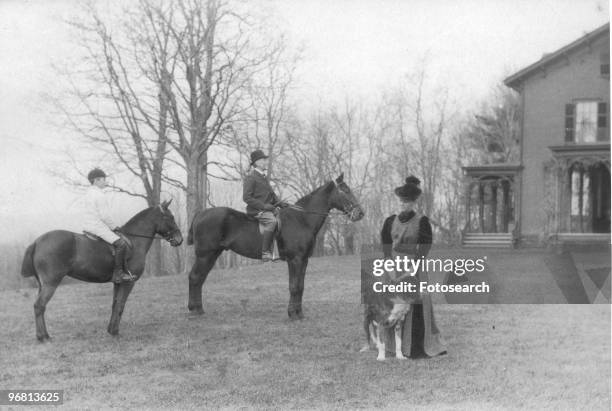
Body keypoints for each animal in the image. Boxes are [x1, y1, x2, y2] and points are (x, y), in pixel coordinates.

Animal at [22, 200, 184, 342]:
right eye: (170, 217)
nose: (179, 239)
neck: (134, 241)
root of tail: (36, 242)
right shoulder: (129, 282)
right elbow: (121, 305)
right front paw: (115, 332)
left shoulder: (118, 282)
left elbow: (115, 304)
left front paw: (110, 330)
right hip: (51, 283)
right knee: (39, 306)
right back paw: (43, 337)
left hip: (43, 284)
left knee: (39, 307)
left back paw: (44, 335)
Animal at [184, 172, 360, 320]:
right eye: (345, 191)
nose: (360, 213)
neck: (301, 219)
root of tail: (201, 214)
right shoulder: (295, 260)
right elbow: (294, 286)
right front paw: (292, 315)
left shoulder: (304, 260)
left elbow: (301, 286)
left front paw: (299, 314)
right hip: (205, 255)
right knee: (194, 277)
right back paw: (193, 310)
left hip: (212, 255)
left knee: (200, 278)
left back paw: (199, 309)